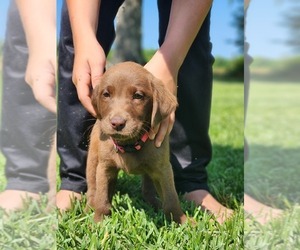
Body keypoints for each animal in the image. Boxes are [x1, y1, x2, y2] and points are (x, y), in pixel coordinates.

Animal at [85, 61, 186, 224]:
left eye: (138, 96)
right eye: (106, 94)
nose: (117, 123)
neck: (130, 144)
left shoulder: (162, 168)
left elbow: (171, 199)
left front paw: (182, 221)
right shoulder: (105, 167)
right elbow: (102, 199)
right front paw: (98, 222)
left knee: (147, 189)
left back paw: (154, 204)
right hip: (93, 161)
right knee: (93, 190)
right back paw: (88, 209)